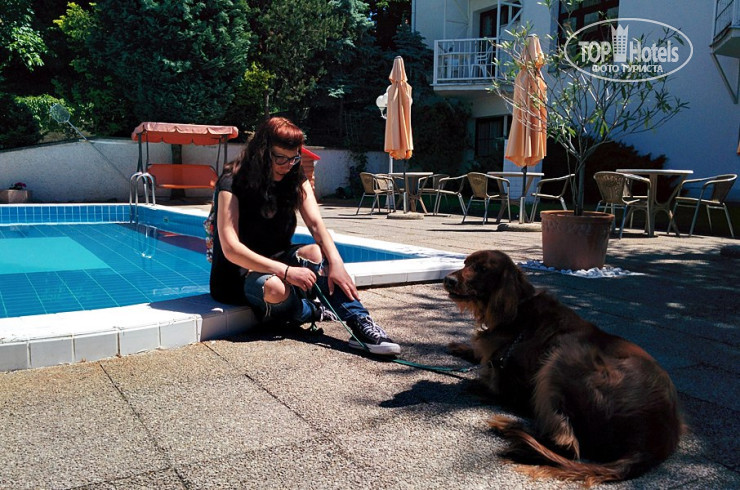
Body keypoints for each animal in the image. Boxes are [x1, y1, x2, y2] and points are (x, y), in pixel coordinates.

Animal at [443, 250, 683, 486]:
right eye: (465, 263)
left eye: (481, 269)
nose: (448, 279)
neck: (519, 311)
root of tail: (655, 443)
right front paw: (462, 348)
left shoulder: (514, 376)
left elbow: (496, 381)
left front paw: (475, 381)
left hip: (566, 354)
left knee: (568, 446)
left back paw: (512, 430)